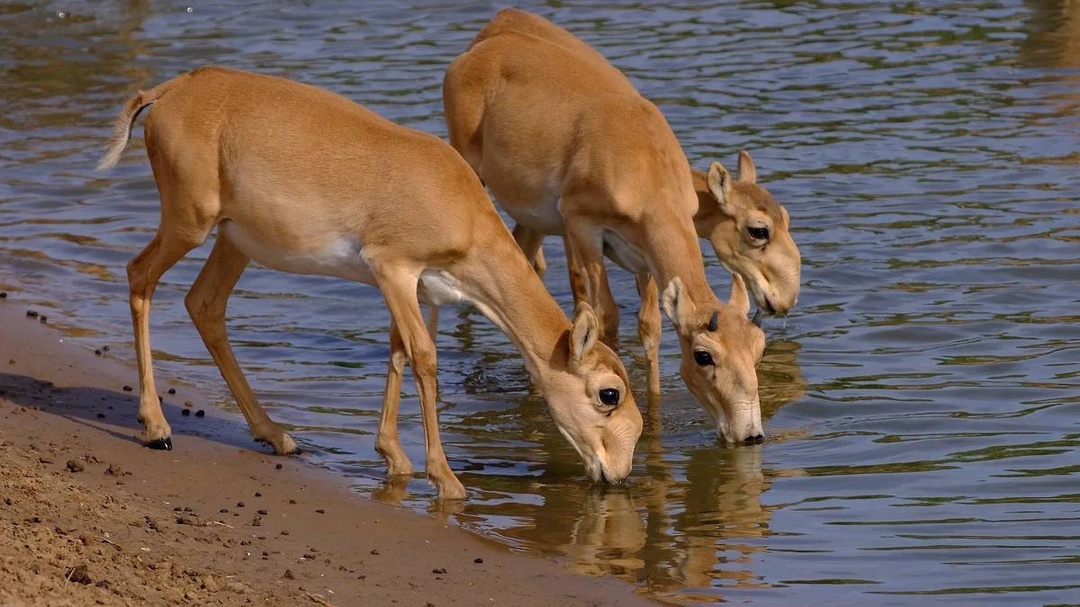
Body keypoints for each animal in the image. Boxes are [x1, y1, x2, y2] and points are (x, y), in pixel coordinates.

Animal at [95, 67, 639, 501]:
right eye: (609, 393)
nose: (620, 472)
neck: (458, 204)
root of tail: (169, 91)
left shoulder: (423, 292)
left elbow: (399, 351)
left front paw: (394, 457)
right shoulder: (393, 269)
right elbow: (424, 357)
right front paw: (446, 479)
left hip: (234, 242)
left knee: (204, 304)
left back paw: (277, 435)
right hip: (189, 223)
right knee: (139, 275)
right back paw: (156, 427)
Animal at [444, 10, 768, 444]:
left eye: (758, 347)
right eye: (704, 355)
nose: (751, 434)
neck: (642, 164)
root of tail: (481, 46)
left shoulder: (644, 255)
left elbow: (650, 326)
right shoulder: (582, 227)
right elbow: (608, 316)